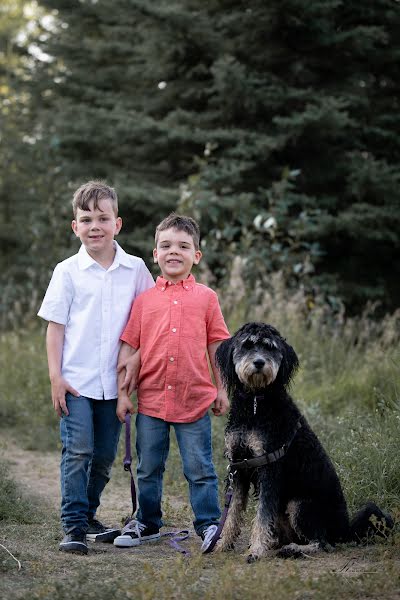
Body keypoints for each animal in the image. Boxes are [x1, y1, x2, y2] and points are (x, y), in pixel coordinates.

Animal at [216, 324, 394, 564]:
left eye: (270, 347)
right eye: (247, 345)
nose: (260, 363)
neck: (254, 405)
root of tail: (345, 529)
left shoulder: (270, 467)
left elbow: (262, 515)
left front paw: (256, 550)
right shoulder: (239, 466)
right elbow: (232, 512)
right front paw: (221, 544)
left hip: (300, 504)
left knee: (323, 543)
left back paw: (292, 549)